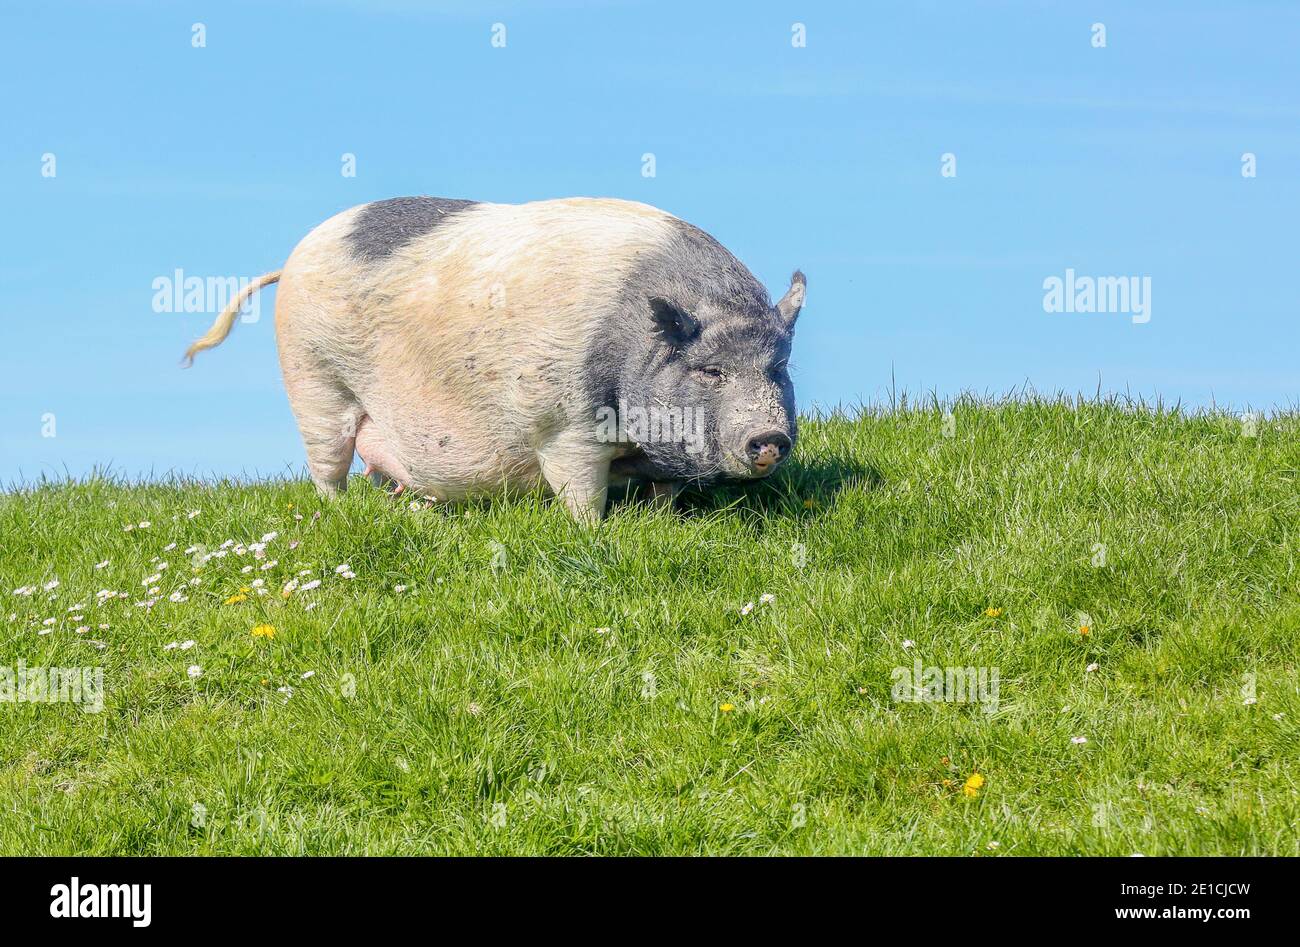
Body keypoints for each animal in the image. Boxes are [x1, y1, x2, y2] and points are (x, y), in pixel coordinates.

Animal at [185, 196, 800, 520]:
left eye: (778, 369)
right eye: (711, 370)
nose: (769, 437)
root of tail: (293, 258)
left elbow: (665, 492)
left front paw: (662, 519)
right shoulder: (564, 425)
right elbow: (580, 490)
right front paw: (595, 530)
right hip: (313, 378)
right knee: (327, 464)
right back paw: (339, 515)